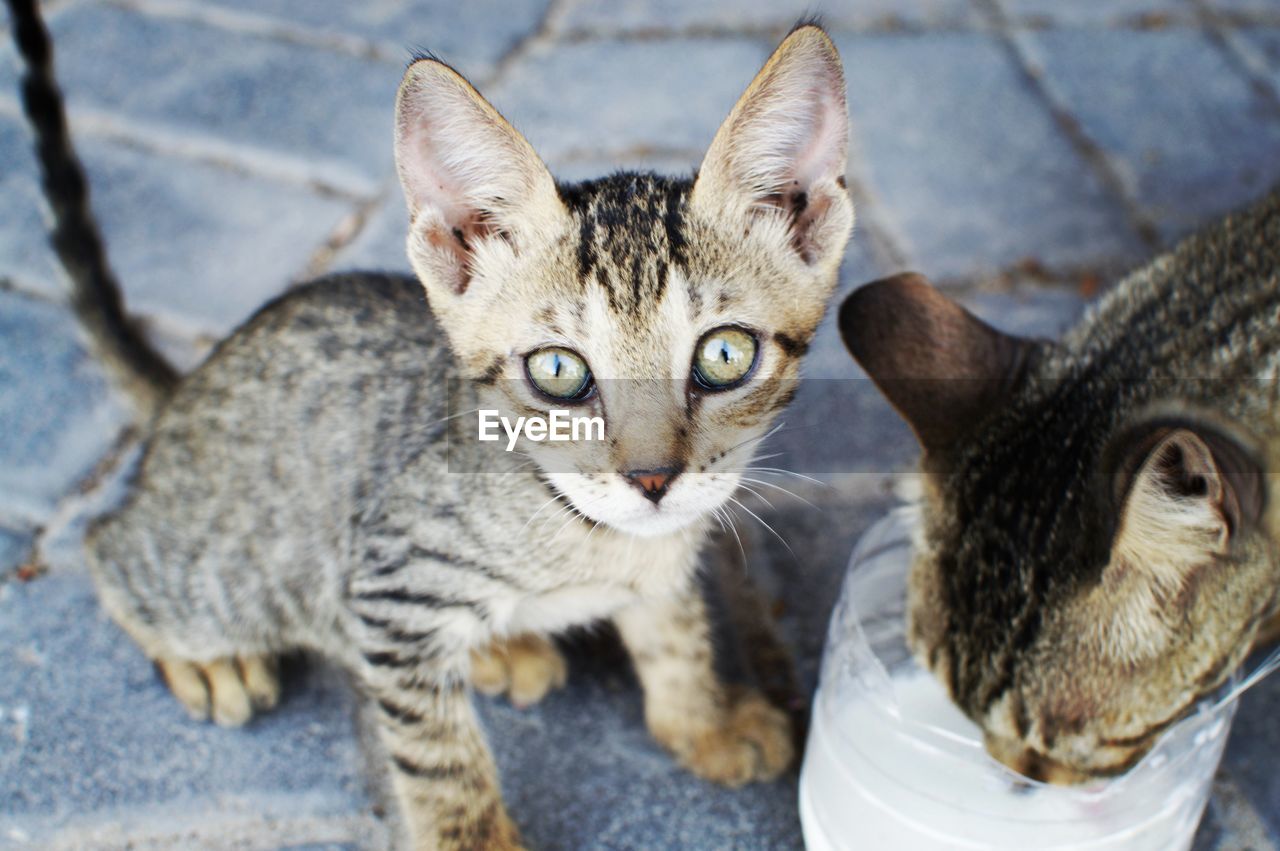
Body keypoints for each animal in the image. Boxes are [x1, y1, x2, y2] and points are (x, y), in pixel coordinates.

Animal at [10, 0, 855, 844]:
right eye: (559, 372)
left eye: (724, 354)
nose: (652, 478)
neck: (595, 536)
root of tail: (190, 384)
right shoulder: (389, 581)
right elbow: (437, 752)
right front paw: (475, 833)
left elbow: (675, 630)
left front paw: (702, 717)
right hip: (225, 577)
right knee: (110, 546)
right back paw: (206, 655)